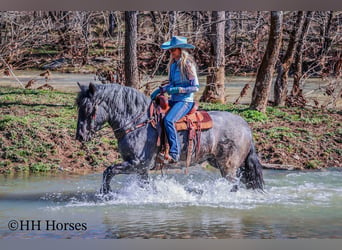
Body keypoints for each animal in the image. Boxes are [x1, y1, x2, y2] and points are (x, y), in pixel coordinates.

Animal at [75, 83, 264, 194]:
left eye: (88, 108)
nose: (80, 136)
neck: (137, 122)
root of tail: (245, 126)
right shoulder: (141, 169)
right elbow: (144, 185)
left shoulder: (138, 163)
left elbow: (108, 171)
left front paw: (105, 193)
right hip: (223, 163)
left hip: (228, 166)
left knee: (233, 184)